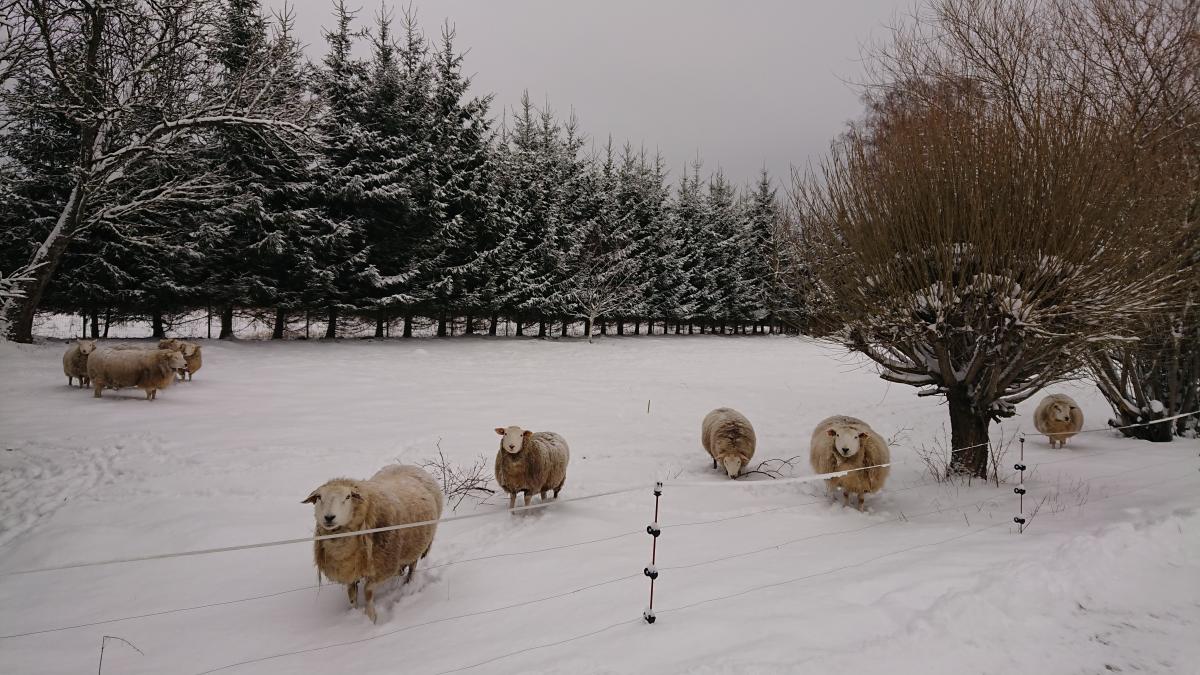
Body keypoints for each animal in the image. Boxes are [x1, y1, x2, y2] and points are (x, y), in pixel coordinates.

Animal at [304, 461, 446, 619]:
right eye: (319, 497)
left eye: (348, 496)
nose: (329, 517)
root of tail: (408, 465)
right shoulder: (349, 569)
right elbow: (351, 595)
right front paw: (354, 612)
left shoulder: (383, 568)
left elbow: (368, 591)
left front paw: (371, 617)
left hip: (418, 544)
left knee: (413, 565)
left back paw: (408, 582)